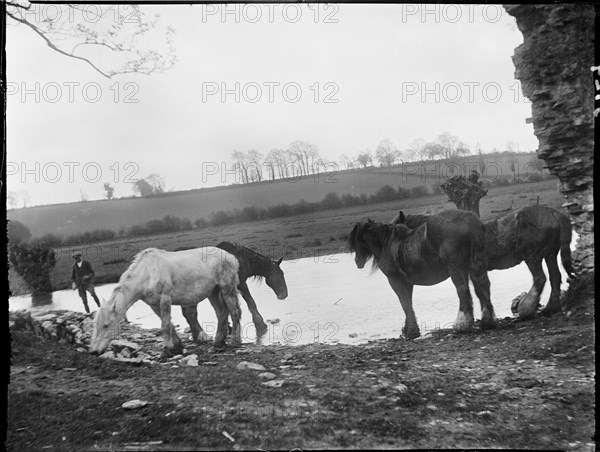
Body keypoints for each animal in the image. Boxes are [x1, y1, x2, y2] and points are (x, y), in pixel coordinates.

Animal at [88, 245, 240, 358]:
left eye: (106, 325)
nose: (94, 351)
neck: (147, 273)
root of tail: (231, 257)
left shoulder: (165, 299)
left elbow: (165, 325)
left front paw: (166, 351)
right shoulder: (154, 304)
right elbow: (167, 323)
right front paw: (177, 347)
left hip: (226, 288)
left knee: (234, 312)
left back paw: (234, 341)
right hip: (213, 292)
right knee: (221, 313)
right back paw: (218, 342)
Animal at [346, 208, 496, 340]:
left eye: (357, 240)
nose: (357, 261)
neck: (388, 243)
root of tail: (469, 220)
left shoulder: (395, 281)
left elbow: (405, 304)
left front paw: (411, 332)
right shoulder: (407, 283)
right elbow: (408, 303)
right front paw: (408, 330)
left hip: (456, 269)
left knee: (463, 291)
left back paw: (462, 324)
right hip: (475, 266)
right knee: (482, 286)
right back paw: (487, 322)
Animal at [392, 203, 576, 320]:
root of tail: (552, 212)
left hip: (532, 257)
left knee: (540, 278)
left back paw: (526, 309)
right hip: (550, 255)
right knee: (555, 277)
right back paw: (550, 308)